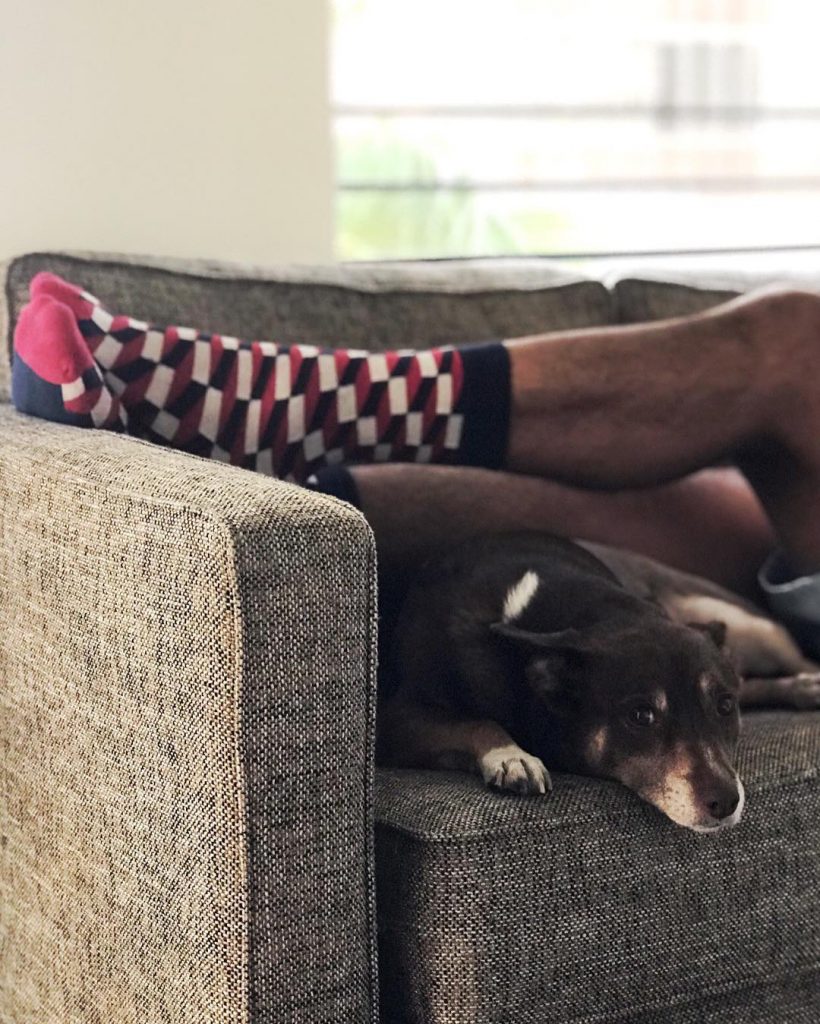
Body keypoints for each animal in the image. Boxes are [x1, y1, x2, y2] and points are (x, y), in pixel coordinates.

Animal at [376, 532, 818, 835]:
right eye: (641, 716)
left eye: (725, 707)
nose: (726, 802)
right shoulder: (394, 718)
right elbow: (476, 721)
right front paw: (511, 756)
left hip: (742, 622)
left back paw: (806, 684)